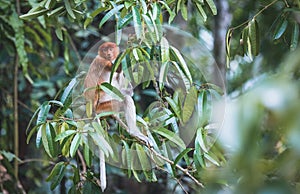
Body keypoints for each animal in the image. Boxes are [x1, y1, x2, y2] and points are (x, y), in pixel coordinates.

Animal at [83, 42, 152, 191]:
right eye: (105, 50)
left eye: (110, 49)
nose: (109, 53)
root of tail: (94, 110)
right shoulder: (103, 61)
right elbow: (116, 68)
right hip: (105, 105)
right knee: (126, 100)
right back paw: (134, 132)